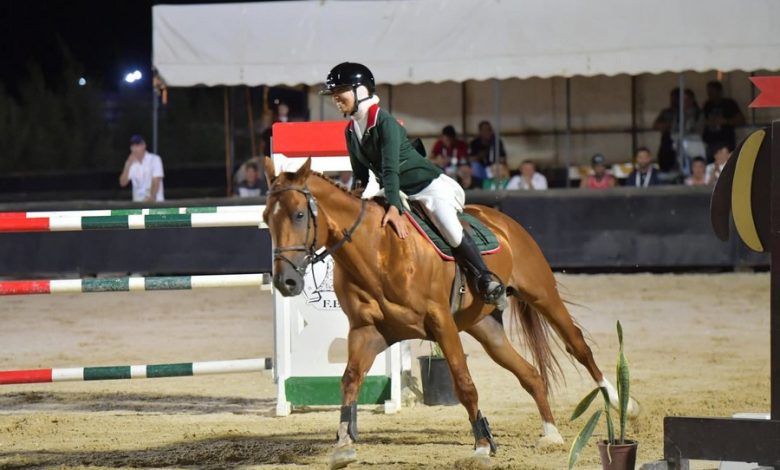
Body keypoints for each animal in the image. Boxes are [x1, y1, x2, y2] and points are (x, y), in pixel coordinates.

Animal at [262, 157, 638, 468]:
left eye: (299, 215)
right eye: (267, 219)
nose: (286, 281)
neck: (378, 252)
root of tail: (500, 218)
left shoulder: (440, 324)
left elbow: (464, 384)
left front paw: (483, 446)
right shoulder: (366, 332)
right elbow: (350, 380)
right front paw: (342, 445)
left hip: (542, 295)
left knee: (577, 345)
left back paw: (619, 401)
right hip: (485, 327)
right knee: (530, 373)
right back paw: (551, 433)